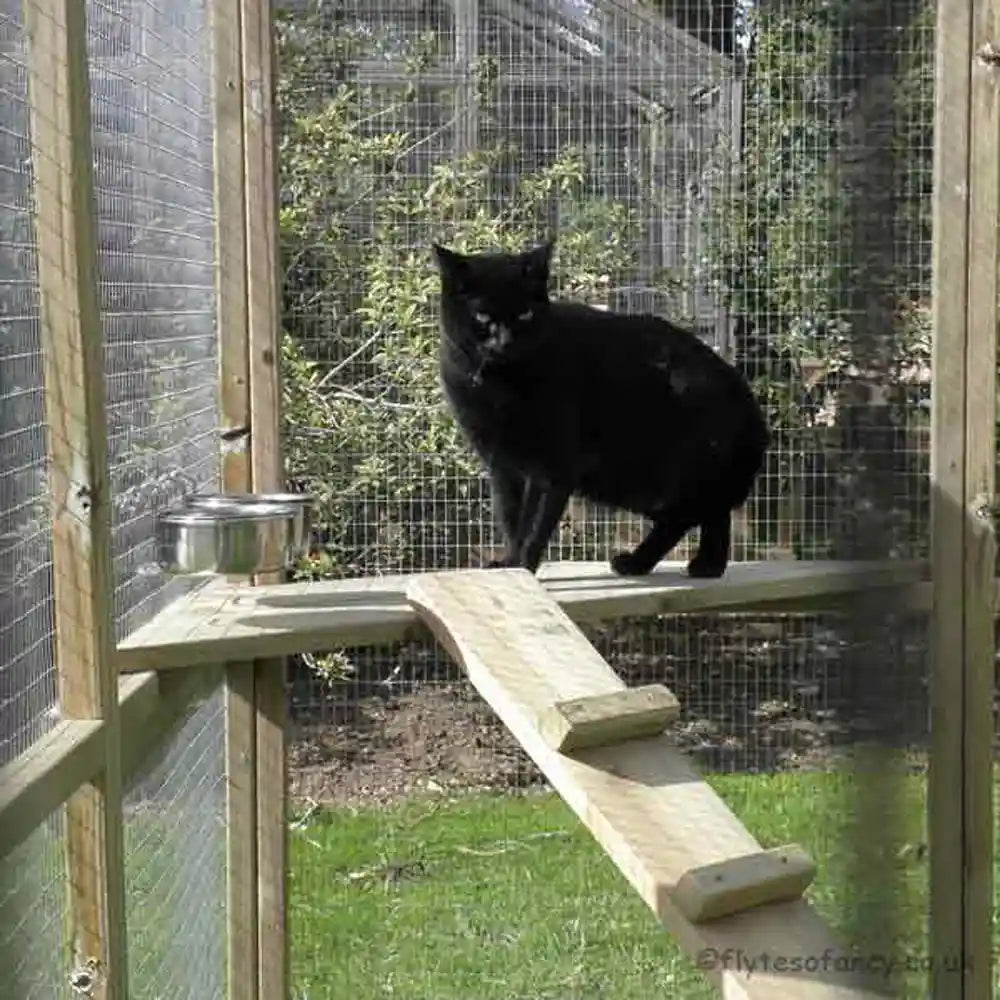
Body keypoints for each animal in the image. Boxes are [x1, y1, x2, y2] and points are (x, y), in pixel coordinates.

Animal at [430, 238, 764, 580]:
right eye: (482, 316)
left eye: (525, 314)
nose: (505, 342)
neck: (500, 386)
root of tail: (747, 397)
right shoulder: (502, 466)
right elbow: (511, 518)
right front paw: (510, 565)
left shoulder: (551, 466)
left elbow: (533, 525)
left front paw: (522, 566)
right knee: (695, 516)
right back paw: (658, 564)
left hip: (671, 472)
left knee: (698, 513)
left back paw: (697, 565)